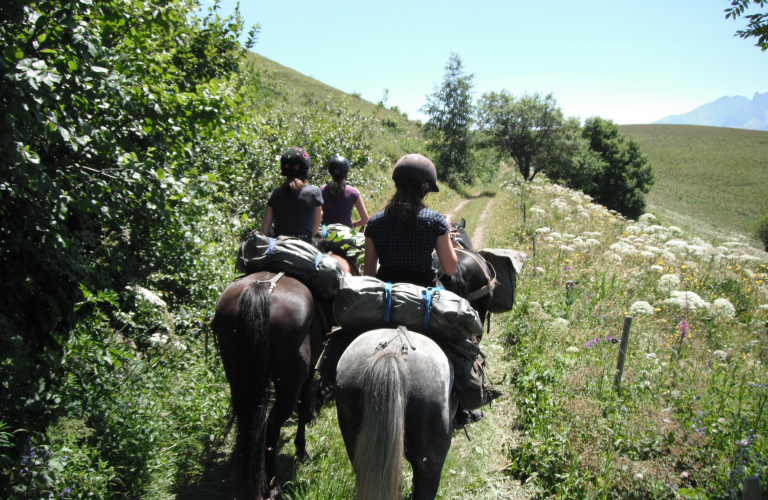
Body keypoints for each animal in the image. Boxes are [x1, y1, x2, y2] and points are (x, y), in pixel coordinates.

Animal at [212, 274, 326, 500]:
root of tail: (260, 289)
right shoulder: (311, 365)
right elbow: (304, 403)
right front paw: (302, 451)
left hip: (237, 374)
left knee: (248, 417)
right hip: (291, 381)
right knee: (271, 424)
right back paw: (273, 485)